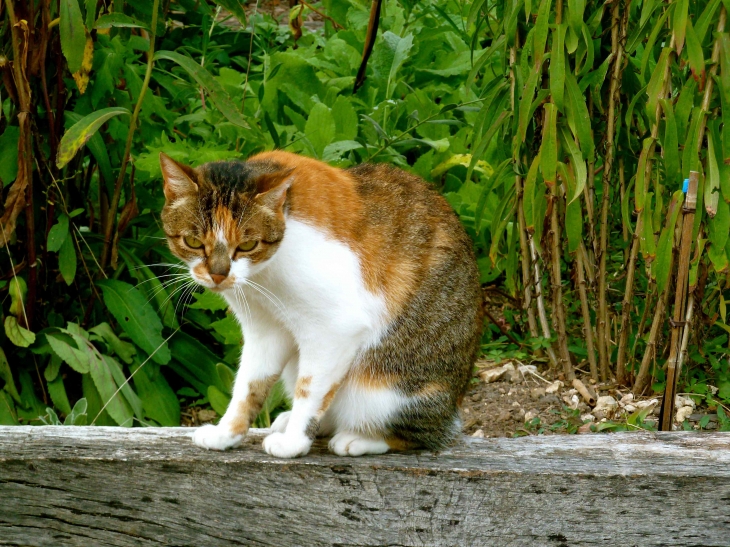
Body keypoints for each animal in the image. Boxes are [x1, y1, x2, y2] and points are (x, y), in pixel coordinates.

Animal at [158, 149, 484, 458]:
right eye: (193, 242)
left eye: (248, 245)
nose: (218, 274)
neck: (264, 275)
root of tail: (452, 410)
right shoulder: (265, 329)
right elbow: (248, 386)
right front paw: (226, 433)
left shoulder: (335, 329)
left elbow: (309, 389)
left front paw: (293, 443)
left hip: (387, 392)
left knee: (421, 435)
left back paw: (359, 438)